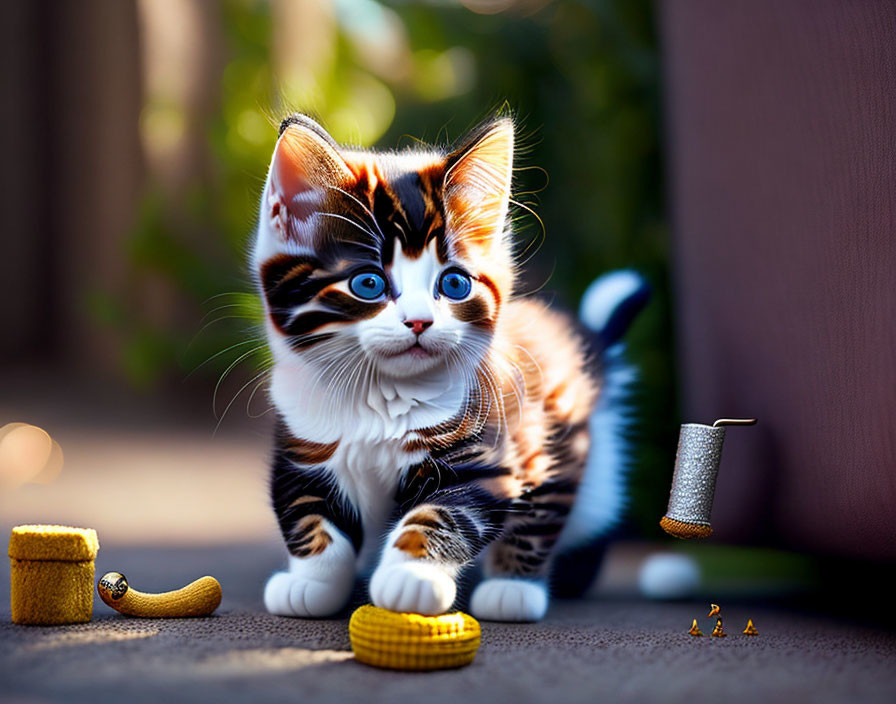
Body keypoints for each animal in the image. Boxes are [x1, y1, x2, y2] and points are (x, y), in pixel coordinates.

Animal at [256, 115, 648, 620]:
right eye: (368, 283)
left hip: (561, 438)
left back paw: (513, 588)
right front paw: (312, 583)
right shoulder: (301, 447)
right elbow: (310, 517)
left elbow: (442, 515)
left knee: (553, 512)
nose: (419, 321)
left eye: (455, 284)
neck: (380, 396)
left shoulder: (485, 457)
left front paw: (410, 577)